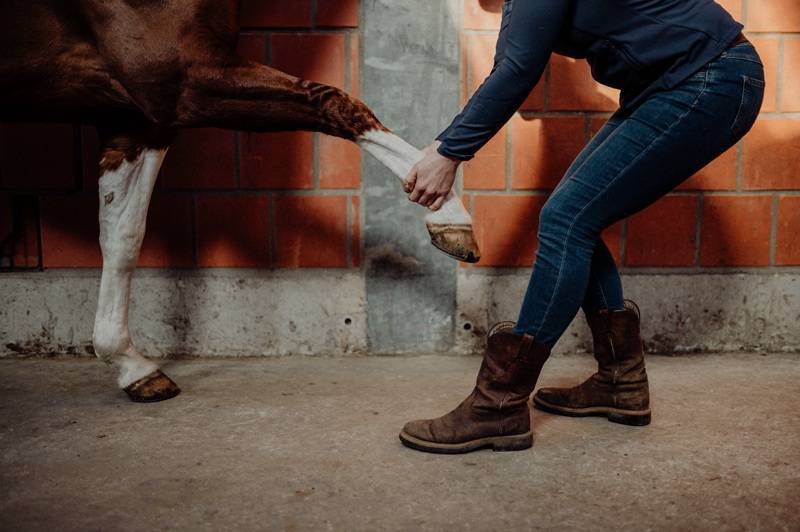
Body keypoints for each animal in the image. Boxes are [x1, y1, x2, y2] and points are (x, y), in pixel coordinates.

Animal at [0, 0, 478, 400]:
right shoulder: (185, 80)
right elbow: (334, 102)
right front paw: (450, 214)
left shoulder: (138, 122)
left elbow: (123, 239)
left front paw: (130, 364)